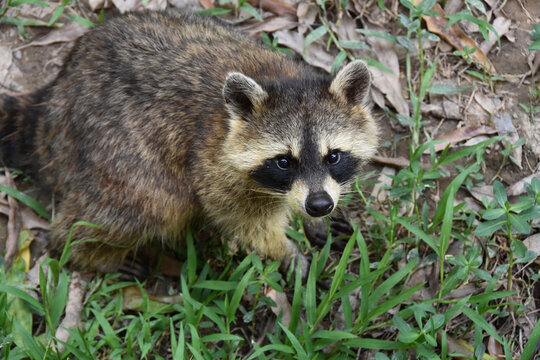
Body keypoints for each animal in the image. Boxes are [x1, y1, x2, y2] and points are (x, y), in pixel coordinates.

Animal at [1, 10, 380, 276]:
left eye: (333, 156)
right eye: (284, 161)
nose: (319, 205)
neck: (283, 79)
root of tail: (55, 98)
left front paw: (312, 220)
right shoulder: (213, 163)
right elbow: (243, 222)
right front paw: (282, 249)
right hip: (114, 144)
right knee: (148, 204)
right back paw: (84, 250)